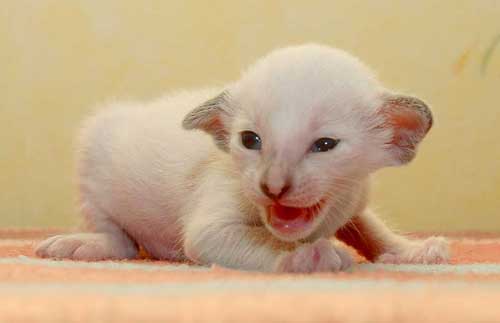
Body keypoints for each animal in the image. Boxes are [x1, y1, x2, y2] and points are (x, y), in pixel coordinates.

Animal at [35, 44, 450, 272]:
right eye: (251, 140)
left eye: (325, 145)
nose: (273, 186)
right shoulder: (215, 219)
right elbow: (259, 240)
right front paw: (311, 256)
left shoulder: (354, 198)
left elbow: (370, 229)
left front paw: (413, 251)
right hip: (92, 148)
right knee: (118, 238)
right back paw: (82, 244)